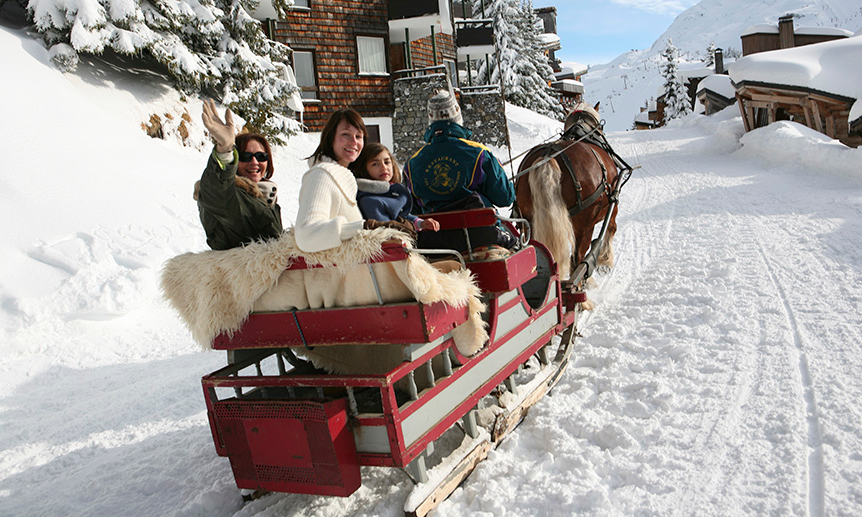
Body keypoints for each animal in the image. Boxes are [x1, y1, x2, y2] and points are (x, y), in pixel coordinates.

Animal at [512, 103, 620, 308]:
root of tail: (547, 157)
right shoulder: (613, 202)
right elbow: (611, 228)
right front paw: (606, 262)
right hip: (584, 225)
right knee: (579, 259)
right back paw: (582, 296)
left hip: (529, 221)